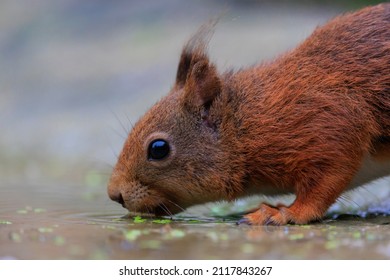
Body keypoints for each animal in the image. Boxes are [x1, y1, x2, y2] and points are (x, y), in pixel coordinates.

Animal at [107, 4, 390, 225]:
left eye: (158, 149)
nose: (114, 195)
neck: (247, 123)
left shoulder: (330, 127)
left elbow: (322, 188)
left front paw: (282, 214)